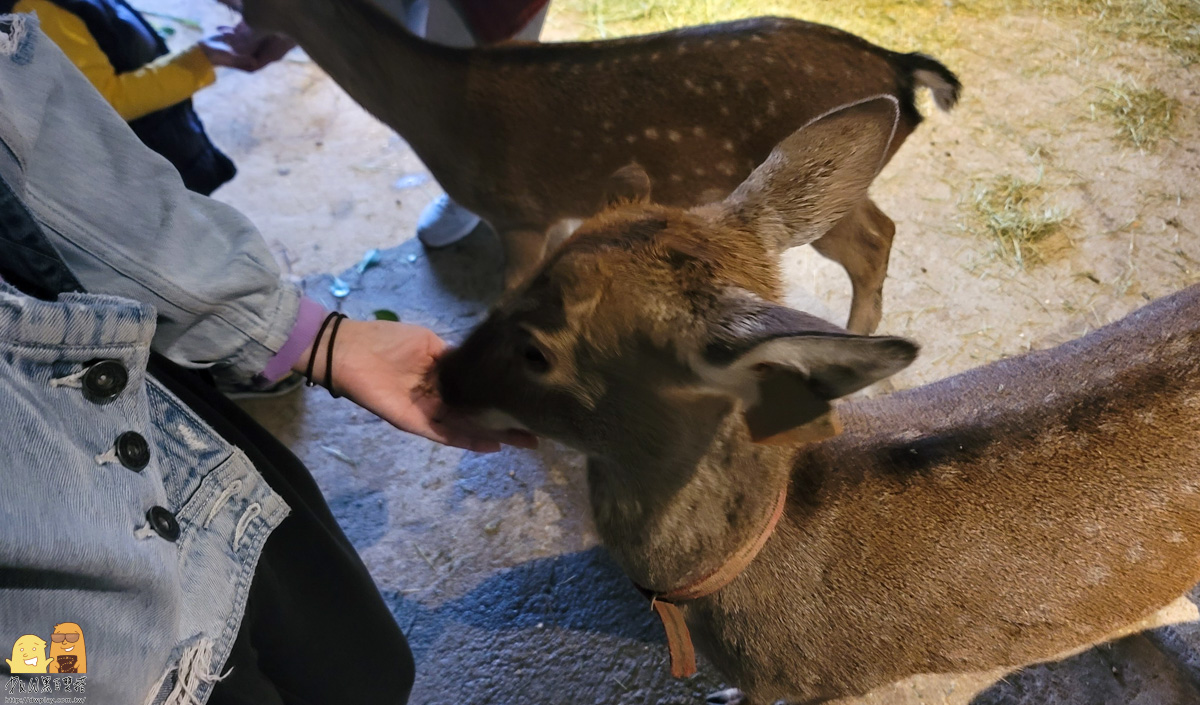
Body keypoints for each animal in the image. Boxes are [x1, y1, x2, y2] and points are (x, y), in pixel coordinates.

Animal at [238, 0, 960, 333]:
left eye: (245, 2)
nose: (236, 41)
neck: (436, 114)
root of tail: (902, 70)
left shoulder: (516, 212)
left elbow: (509, 294)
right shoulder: (558, 212)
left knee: (871, 243)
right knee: (883, 229)